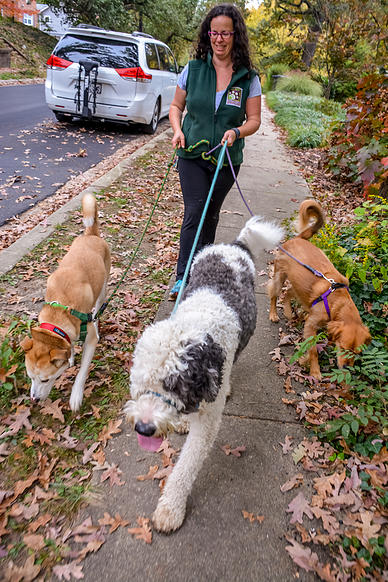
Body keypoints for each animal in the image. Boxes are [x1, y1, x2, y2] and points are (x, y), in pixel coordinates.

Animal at [20, 194, 110, 412]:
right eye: (30, 377)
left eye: (45, 380)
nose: (34, 399)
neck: (59, 312)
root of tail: (91, 234)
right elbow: (69, 346)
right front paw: (69, 357)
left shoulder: (90, 340)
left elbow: (82, 373)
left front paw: (76, 395)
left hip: (102, 290)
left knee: (98, 311)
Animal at [123, 216, 282, 532]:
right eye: (142, 385)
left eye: (173, 385)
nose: (144, 429)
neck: (197, 326)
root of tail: (234, 244)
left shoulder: (208, 419)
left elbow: (187, 466)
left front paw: (171, 509)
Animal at [266, 201, 370, 380]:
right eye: (343, 347)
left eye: (356, 353)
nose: (347, 368)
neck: (338, 302)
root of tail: (297, 239)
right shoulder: (311, 325)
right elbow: (313, 350)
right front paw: (315, 371)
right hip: (279, 277)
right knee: (274, 294)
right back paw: (274, 314)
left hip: (300, 286)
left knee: (288, 293)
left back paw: (288, 311)